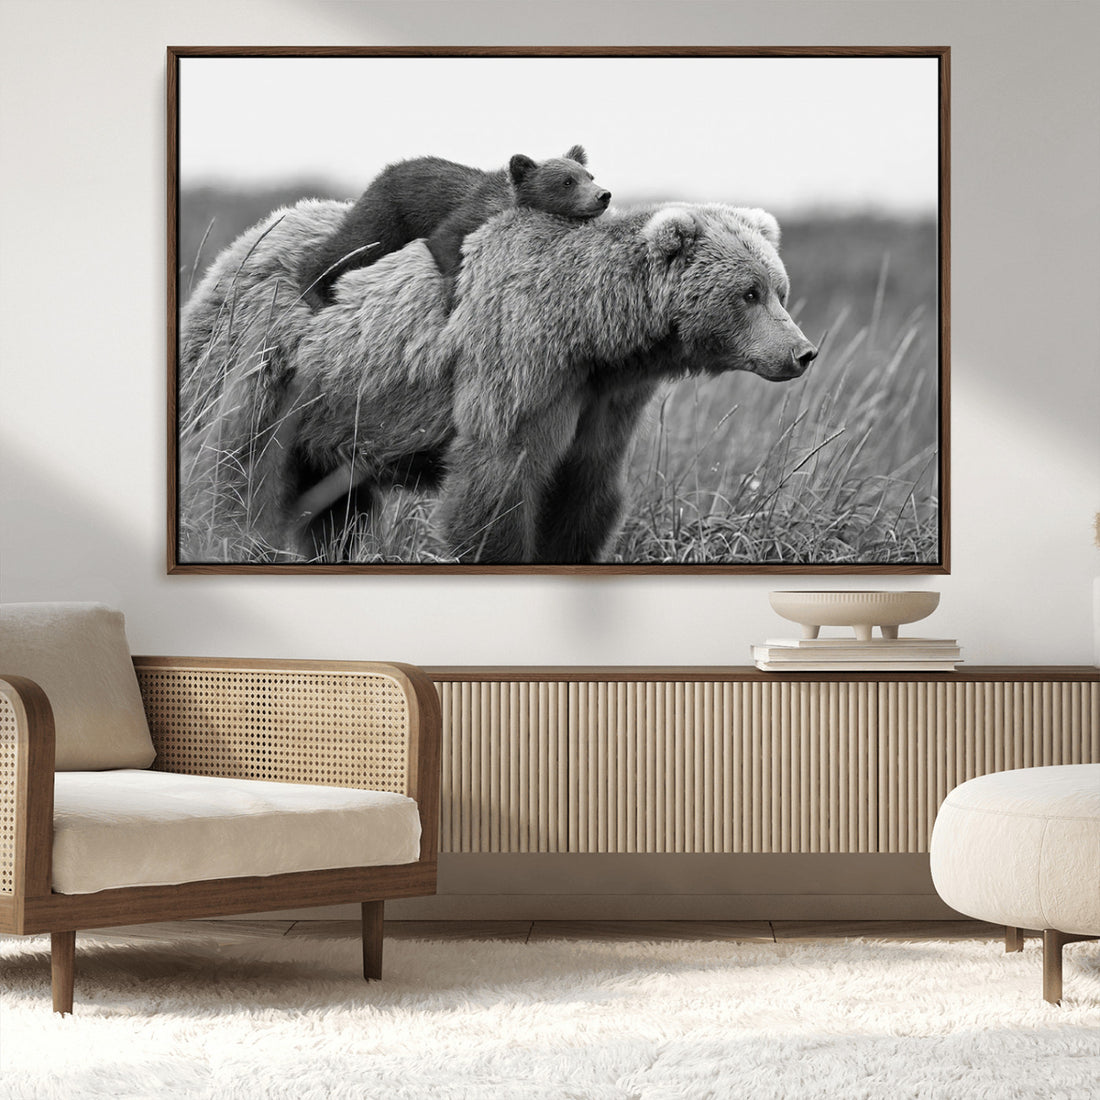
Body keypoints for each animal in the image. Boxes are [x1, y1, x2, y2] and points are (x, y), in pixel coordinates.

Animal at [178, 199, 817, 565]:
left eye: (779, 289)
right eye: (749, 293)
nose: (802, 352)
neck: (593, 331)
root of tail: (243, 242)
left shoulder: (604, 399)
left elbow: (585, 489)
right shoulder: (519, 361)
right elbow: (498, 479)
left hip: (335, 413)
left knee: (336, 509)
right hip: (265, 365)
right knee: (235, 469)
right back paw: (228, 539)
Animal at [297, 146, 610, 310]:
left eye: (590, 175)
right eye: (567, 181)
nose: (603, 195)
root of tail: (385, 171)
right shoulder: (469, 213)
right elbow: (445, 240)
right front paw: (452, 297)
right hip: (388, 214)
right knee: (353, 244)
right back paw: (315, 290)